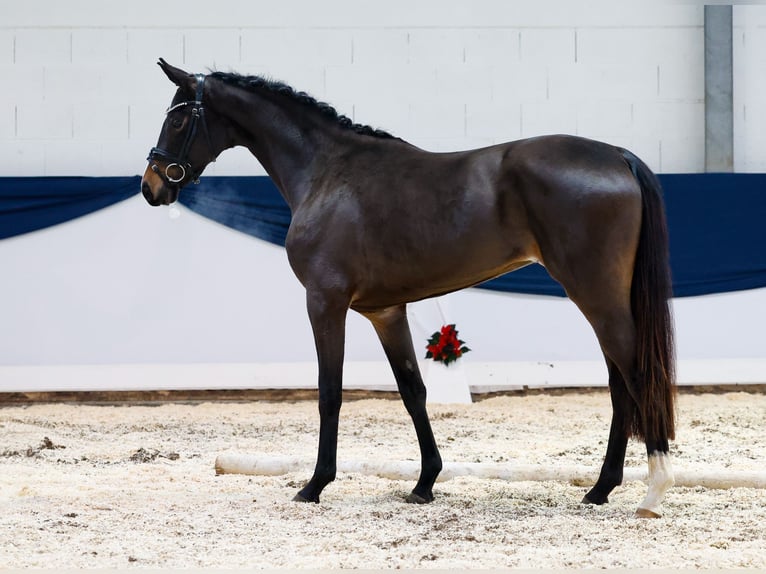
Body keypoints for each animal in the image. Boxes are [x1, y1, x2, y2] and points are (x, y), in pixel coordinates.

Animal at [141, 59, 676, 520]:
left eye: (178, 119)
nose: (151, 186)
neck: (326, 172)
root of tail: (617, 156)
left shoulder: (325, 302)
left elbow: (330, 393)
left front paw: (315, 485)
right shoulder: (387, 312)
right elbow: (412, 391)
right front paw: (424, 483)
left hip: (596, 294)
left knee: (636, 375)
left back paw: (653, 492)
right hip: (603, 298)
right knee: (619, 385)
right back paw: (600, 489)